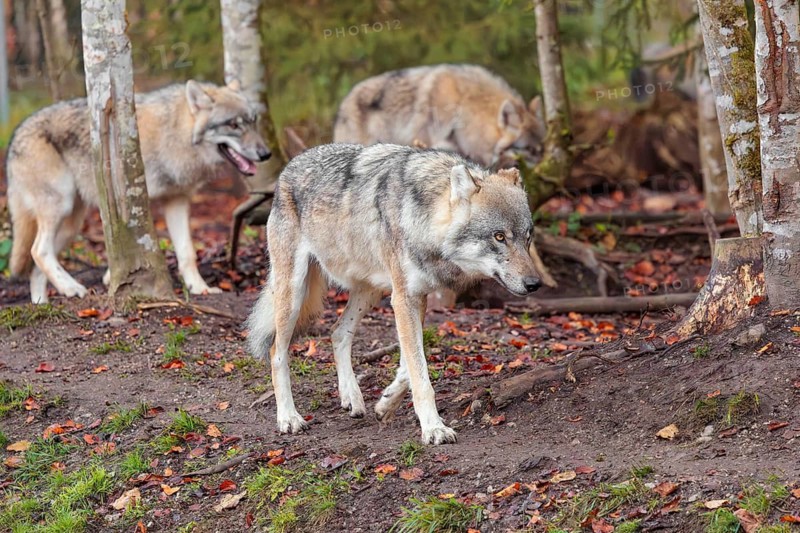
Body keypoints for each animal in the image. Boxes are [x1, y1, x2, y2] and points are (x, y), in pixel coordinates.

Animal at [6, 80, 271, 303]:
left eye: (253, 121)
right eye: (234, 125)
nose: (266, 153)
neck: (174, 133)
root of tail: (15, 136)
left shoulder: (177, 200)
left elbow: (187, 252)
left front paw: (199, 287)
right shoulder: (128, 200)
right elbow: (123, 239)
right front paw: (114, 277)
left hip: (71, 224)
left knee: (36, 261)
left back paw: (42, 303)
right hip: (60, 207)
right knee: (38, 250)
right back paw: (71, 288)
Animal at [246, 143, 542, 445]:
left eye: (527, 237)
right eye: (499, 237)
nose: (534, 284)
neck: (422, 215)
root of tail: (291, 165)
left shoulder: (415, 298)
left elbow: (409, 365)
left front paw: (386, 403)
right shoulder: (403, 298)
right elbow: (420, 374)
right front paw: (433, 428)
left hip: (369, 292)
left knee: (338, 332)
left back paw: (352, 398)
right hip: (294, 294)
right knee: (277, 351)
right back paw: (288, 418)